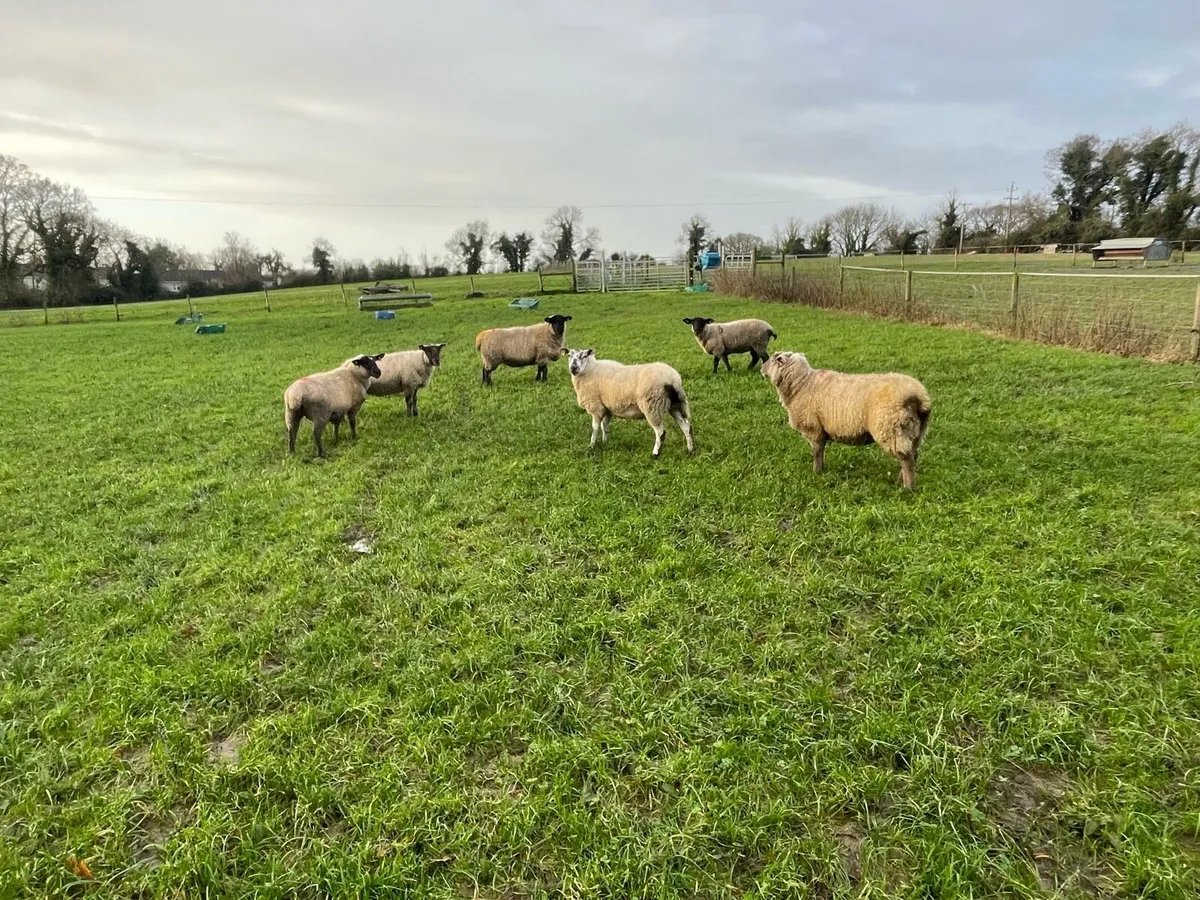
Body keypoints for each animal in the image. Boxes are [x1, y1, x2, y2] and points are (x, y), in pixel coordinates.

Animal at [566, 348, 695, 458]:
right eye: (569, 355)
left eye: (583, 356)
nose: (573, 368)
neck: (590, 370)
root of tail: (673, 379)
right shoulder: (607, 408)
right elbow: (605, 427)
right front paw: (605, 442)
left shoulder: (596, 407)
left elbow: (595, 428)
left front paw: (592, 446)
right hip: (675, 405)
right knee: (686, 426)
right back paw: (691, 450)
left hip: (652, 406)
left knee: (661, 432)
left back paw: (655, 454)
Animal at [760, 350, 931, 489]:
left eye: (774, 358)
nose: (761, 368)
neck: (801, 384)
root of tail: (918, 397)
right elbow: (821, 451)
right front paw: (821, 470)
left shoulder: (814, 429)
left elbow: (816, 452)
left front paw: (817, 471)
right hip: (915, 431)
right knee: (912, 455)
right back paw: (900, 480)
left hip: (891, 428)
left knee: (907, 459)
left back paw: (908, 488)